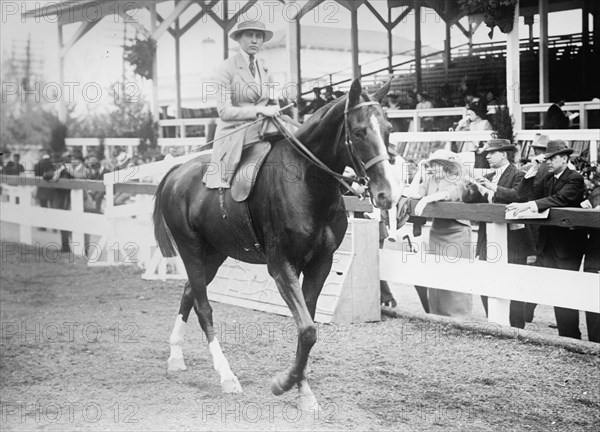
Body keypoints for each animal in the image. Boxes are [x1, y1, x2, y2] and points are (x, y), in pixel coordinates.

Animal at [152, 78, 400, 412]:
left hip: (214, 254)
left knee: (189, 292)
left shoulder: (320, 264)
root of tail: (176, 173)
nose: (387, 194)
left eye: (388, 129)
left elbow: (307, 327)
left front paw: (303, 391)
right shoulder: (281, 266)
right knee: (203, 307)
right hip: (190, 249)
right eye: (359, 131)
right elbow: (307, 329)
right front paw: (284, 383)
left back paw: (176, 356)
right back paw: (226, 376)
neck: (307, 181)